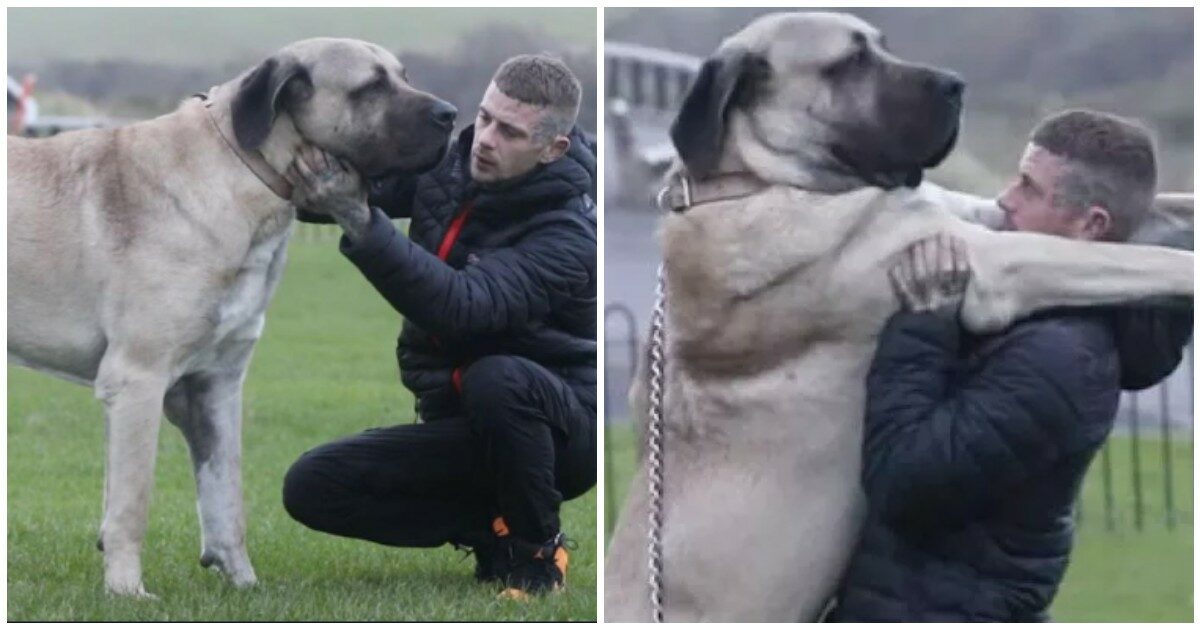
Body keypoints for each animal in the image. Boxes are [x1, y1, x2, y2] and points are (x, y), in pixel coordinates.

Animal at [7, 36, 456, 597]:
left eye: (403, 76)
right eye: (371, 87)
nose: (451, 114)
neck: (241, 168)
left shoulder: (215, 385)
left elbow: (225, 496)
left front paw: (243, 582)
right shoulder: (137, 380)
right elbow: (131, 503)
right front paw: (128, 591)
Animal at [604, 12, 1195, 619]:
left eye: (883, 45)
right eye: (851, 62)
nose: (956, 84)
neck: (758, 180)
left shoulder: (978, 216)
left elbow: (1164, 209)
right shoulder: (994, 262)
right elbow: (1126, 258)